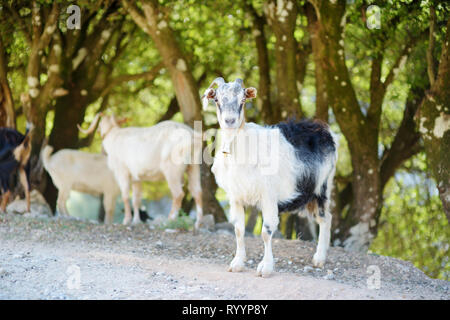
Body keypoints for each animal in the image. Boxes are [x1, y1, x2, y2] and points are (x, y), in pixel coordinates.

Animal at [204, 78, 338, 278]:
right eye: (217, 100)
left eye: (243, 100)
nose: (230, 121)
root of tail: (324, 129)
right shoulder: (236, 197)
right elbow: (239, 230)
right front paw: (237, 264)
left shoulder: (268, 195)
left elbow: (266, 232)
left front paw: (265, 268)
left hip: (322, 187)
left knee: (325, 219)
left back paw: (319, 259)